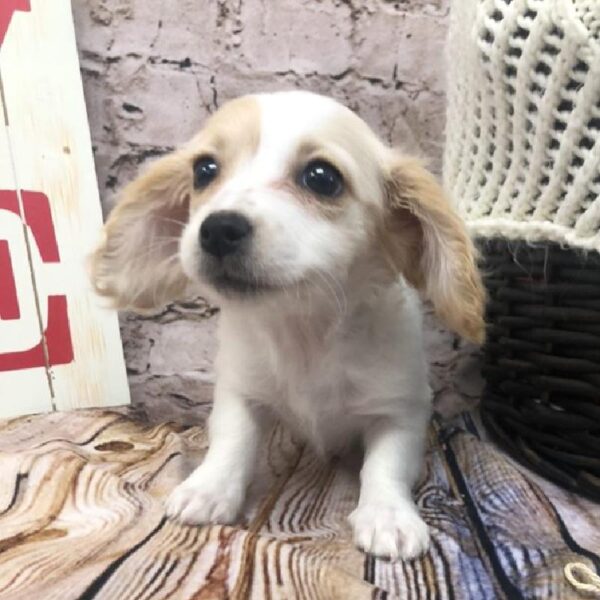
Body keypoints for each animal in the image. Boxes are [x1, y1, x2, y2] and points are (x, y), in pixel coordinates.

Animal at [90, 91, 482, 560]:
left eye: (322, 178)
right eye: (204, 170)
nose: (217, 229)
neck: (304, 330)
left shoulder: (401, 410)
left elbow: (385, 465)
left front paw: (388, 516)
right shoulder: (238, 390)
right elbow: (233, 440)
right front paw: (209, 489)